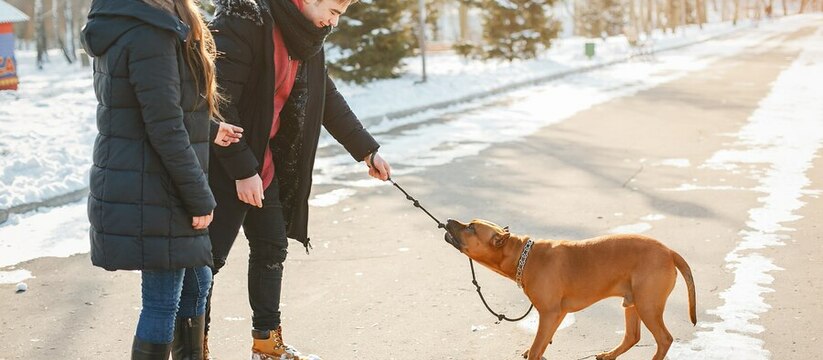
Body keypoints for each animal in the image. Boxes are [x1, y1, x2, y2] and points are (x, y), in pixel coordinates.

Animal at [444, 218, 696, 358]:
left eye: (471, 228)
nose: (447, 220)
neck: (522, 255)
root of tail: (669, 251)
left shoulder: (549, 313)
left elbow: (537, 347)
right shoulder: (555, 314)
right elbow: (541, 344)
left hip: (648, 306)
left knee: (664, 339)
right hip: (633, 302)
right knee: (632, 337)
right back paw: (609, 355)